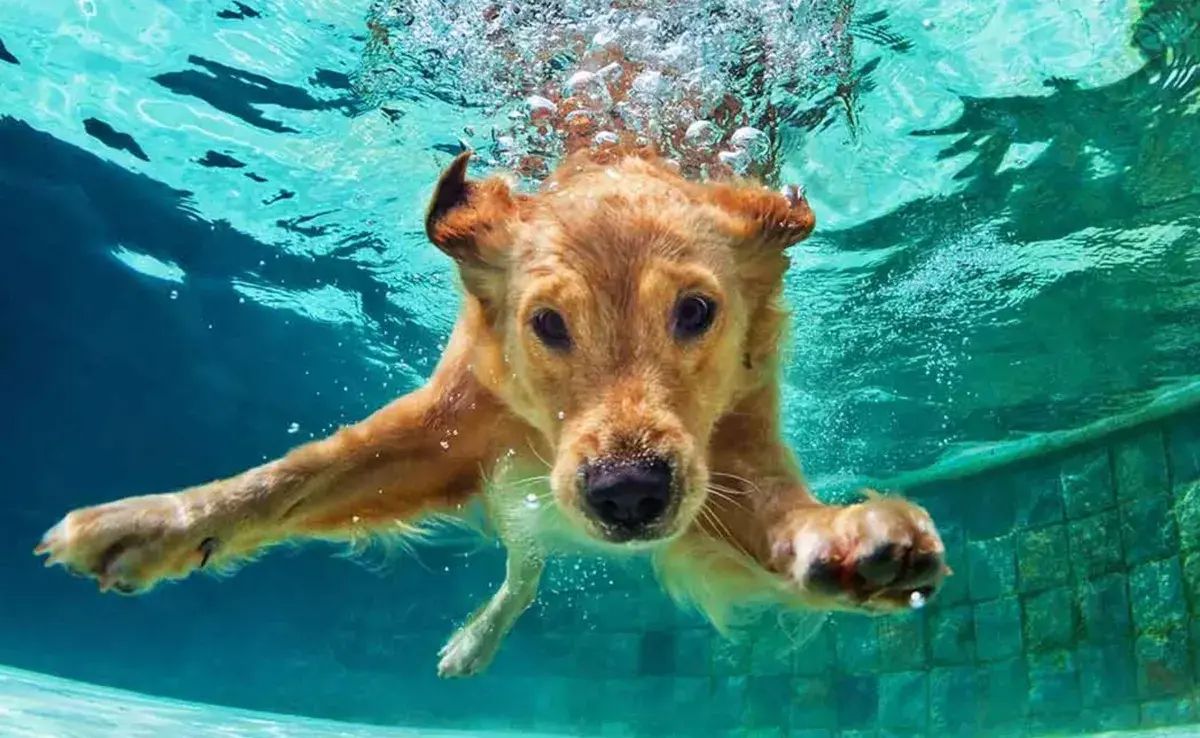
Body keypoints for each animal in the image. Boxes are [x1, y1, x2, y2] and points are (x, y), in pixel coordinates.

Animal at [35, 4, 945, 681]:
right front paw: (155, 524)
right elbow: (291, 477)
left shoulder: (732, 450)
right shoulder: (447, 426)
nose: (627, 495)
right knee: (522, 566)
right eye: (547, 324)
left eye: (696, 312)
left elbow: (781, 515)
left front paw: (849, 541)